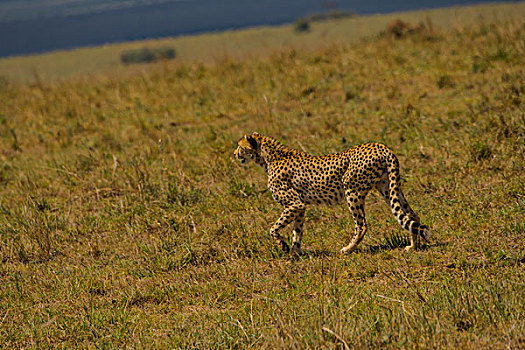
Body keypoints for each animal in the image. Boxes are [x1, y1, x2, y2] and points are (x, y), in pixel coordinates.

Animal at [234, 133, 430, 256]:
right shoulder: (300, 206)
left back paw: (347, 249)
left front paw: (283, 246)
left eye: (240, 147)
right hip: (388, 188)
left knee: (362, 225)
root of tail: (381, 146)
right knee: (412, 216)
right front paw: (295, 253)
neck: (269, 157)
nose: (235, 154)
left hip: (352, 190)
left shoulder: (295, 203)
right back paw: (413, 246)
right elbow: (297, 231)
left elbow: (273, 228)